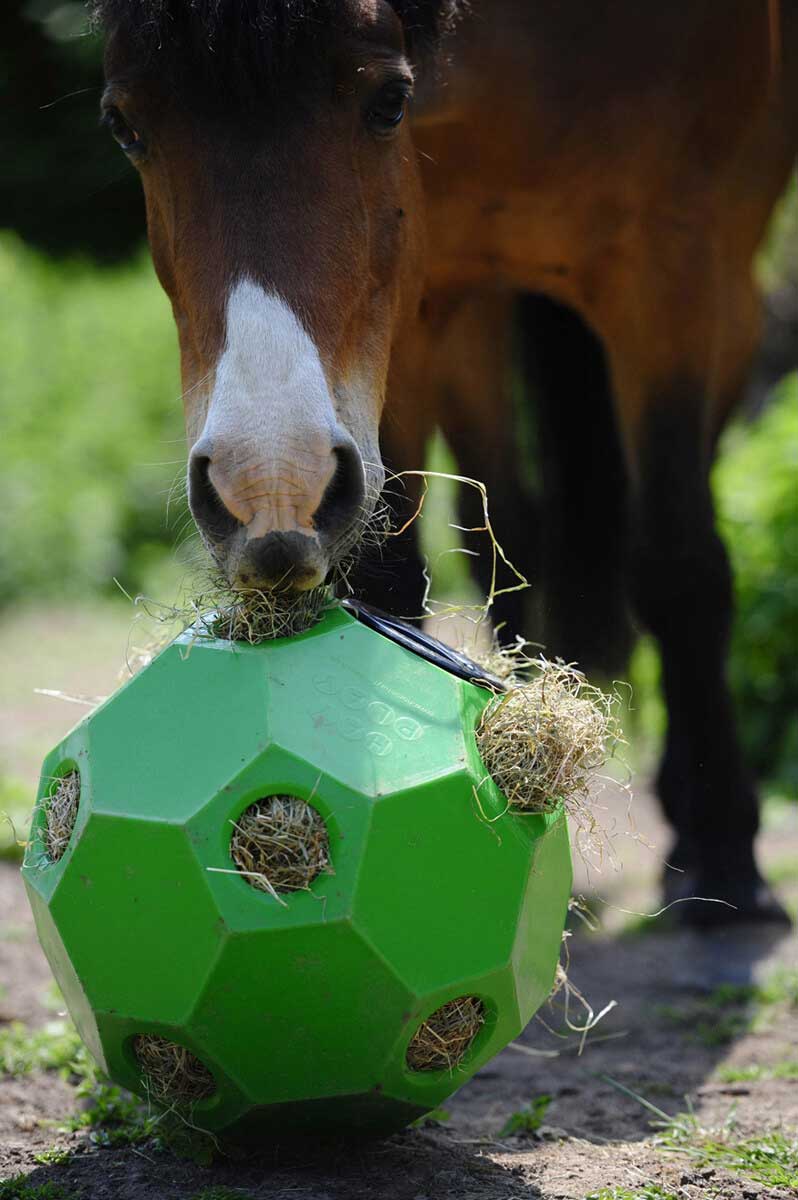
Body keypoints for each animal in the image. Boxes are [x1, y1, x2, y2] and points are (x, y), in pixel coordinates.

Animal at [90, 0, 792, 921]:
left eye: (390, 101)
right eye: (126, 125)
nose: (270, 493)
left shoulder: (676, 267)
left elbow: (680, 565)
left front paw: (725, 854)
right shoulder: (410, 312)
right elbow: (393, 575)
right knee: (507, 532)